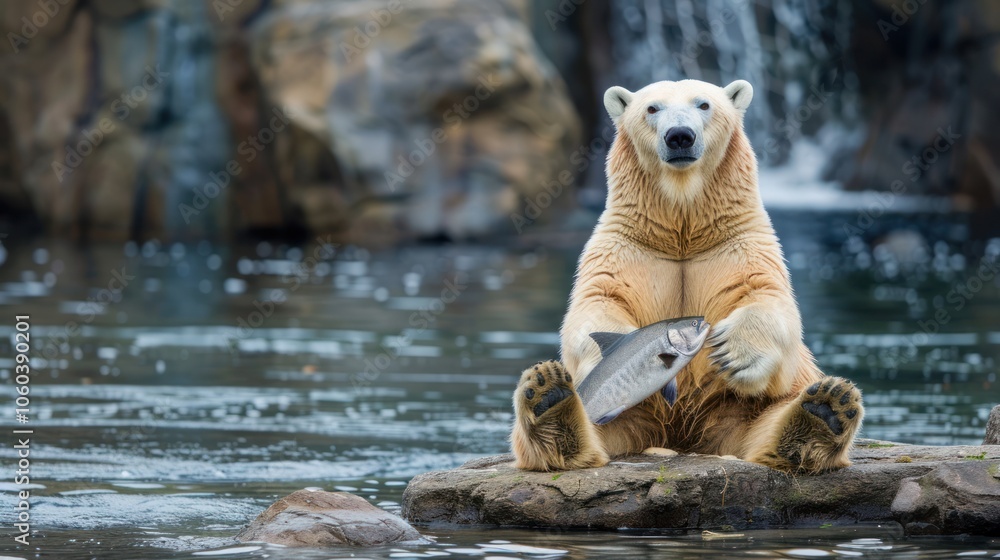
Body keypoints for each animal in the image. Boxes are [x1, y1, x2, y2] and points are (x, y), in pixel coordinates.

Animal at [510, 79, 864, 474]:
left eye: (704, 104)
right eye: (652, 108)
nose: (680, 136)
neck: (682, 230)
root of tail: (682, 437)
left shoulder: (742, 244)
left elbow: (767, 297)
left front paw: (729, 350)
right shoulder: (623, 247)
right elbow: (598, 300)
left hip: (741, 407)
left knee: (776, 412)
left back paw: (825, 410)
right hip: (631, 415)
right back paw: (548, 400)